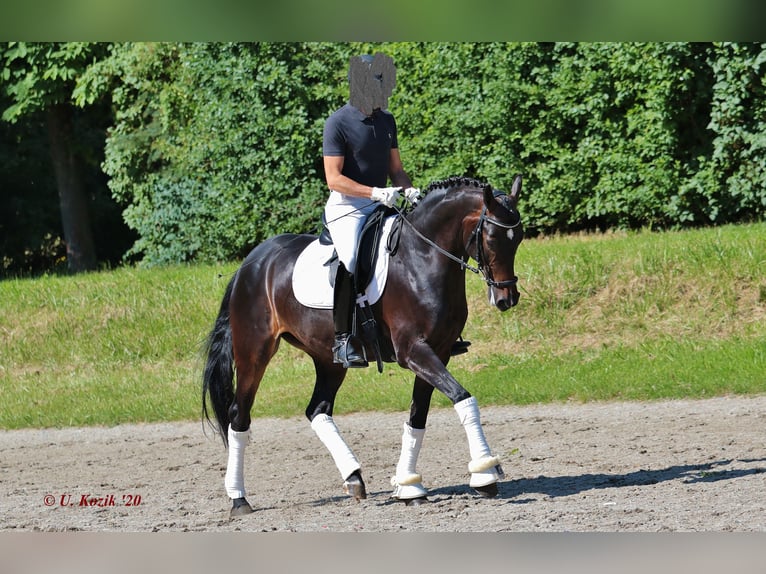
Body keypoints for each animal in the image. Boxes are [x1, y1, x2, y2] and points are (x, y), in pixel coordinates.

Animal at [202, 176, 528, 516]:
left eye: (518, 237)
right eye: (491, 237)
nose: (506, 299)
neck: (422, 257)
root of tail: (251, 263)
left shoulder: (437, 352)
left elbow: (418, 417)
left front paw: (409, 485)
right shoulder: (414, 351)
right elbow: (464, 399)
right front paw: (486, 472)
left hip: (329, 360)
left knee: (317, 409)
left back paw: (354, 478)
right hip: (254, 352)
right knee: (239, 416)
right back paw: (239, 498)